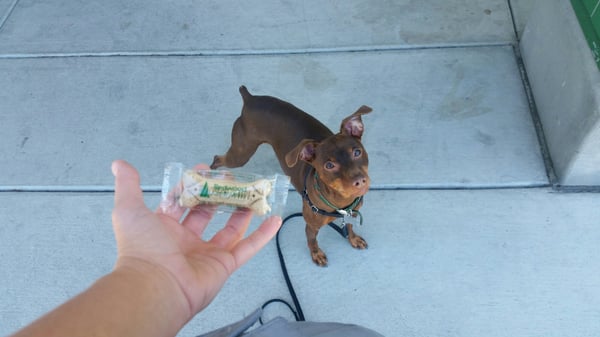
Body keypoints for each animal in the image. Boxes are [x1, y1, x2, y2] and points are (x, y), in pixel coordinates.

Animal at [211, 86, 370, 266]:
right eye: (329, 165)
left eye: (357, 152)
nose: (359, 181)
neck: (341, 203)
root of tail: (250, 99)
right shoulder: (311, 225)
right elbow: (312, 241)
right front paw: (316, 254)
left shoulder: (353, 213)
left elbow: (350, 226)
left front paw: (354, 238)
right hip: (241, 154)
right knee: (218, 159)